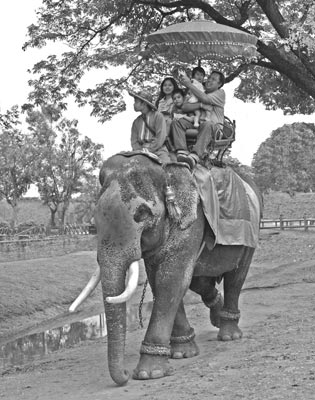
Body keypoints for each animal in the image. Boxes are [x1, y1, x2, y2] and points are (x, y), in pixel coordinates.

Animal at [70, 152, 262, 384]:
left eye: (142, 214)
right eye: (94, 221)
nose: (125, 374)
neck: (165, 168)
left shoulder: (191, 222)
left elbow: (170, 279)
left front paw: (149, 373)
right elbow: (160, 280)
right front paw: (182, 353)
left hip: (250, 234)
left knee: (236, 276)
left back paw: (229, 335)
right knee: (199, 281)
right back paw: (216, 317)